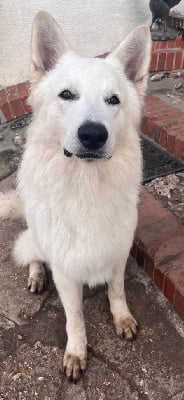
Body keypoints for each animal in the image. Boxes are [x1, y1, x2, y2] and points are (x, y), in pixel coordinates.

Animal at [0, 11, 150, 382]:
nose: (93, 135)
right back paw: (37, 275)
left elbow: (117, 291)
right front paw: (77, 352)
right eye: (67, 94)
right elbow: (75, 317)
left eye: (113, 100)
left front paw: (121, 318)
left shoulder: (118, 253)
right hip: (36, 239)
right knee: (32, 252)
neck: (86, 188)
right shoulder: (66, 274)